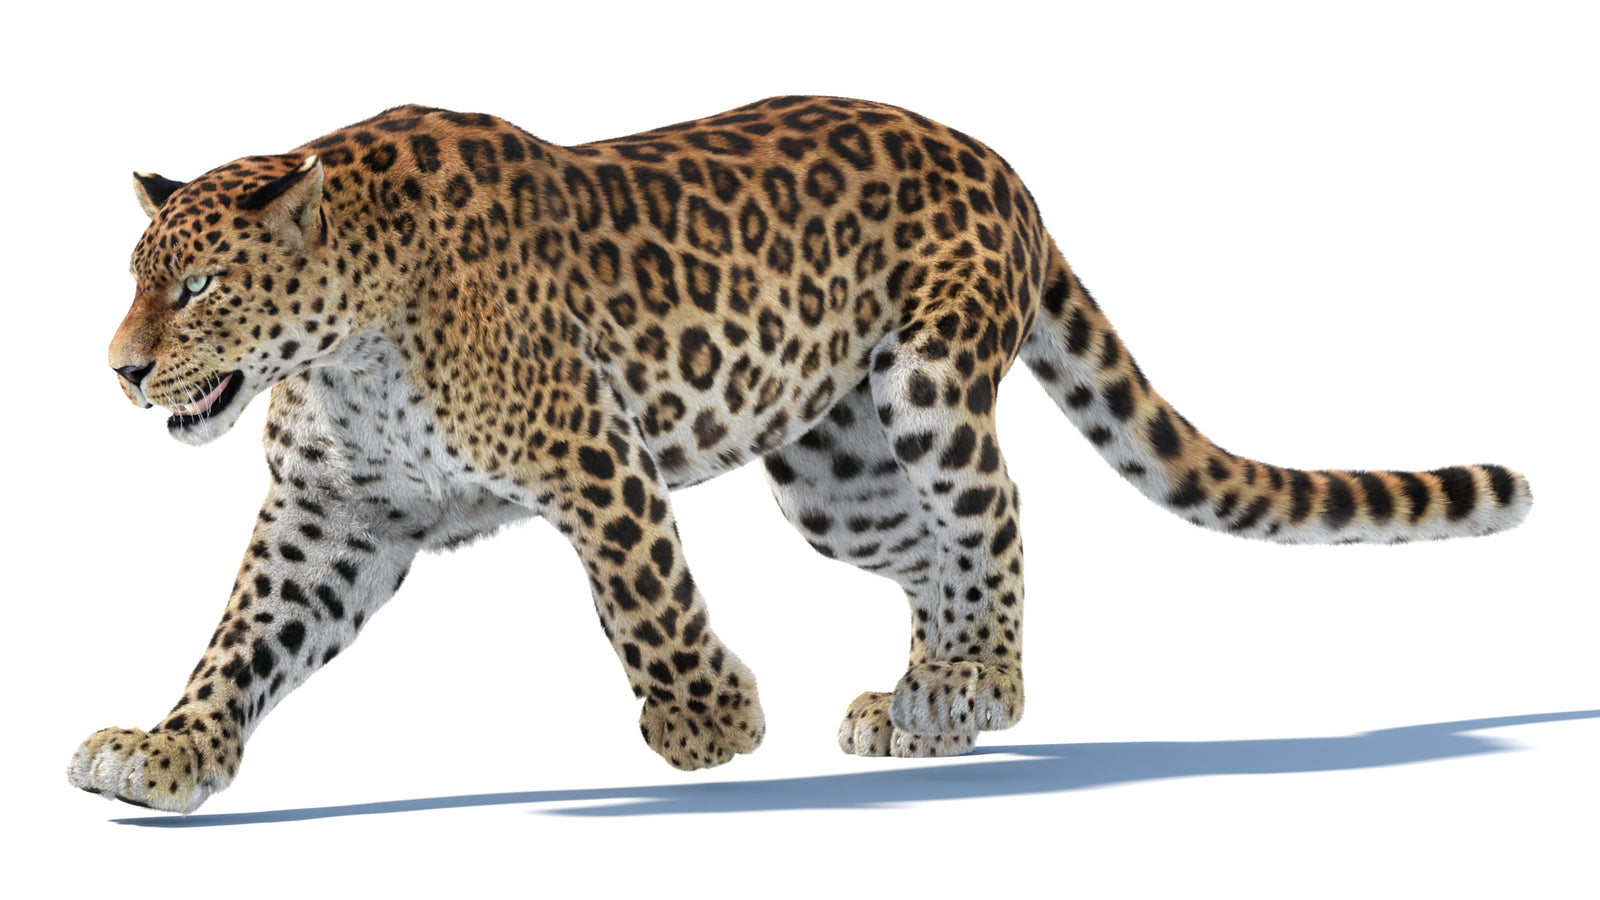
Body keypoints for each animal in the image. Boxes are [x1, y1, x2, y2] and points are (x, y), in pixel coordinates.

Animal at [70, 96, 1531, 813]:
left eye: (197, 288)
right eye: (135, 282)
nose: (122, 370)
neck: (348, 342)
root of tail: (1003, 165)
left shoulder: (593, 457)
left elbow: (646, 598)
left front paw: (708, 725)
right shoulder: (333, 519)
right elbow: (241, 644)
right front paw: (166, 754)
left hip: (932, 386)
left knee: (998, 517)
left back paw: (978, 688)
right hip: (841, 478)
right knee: (934, 551)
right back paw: (929, 702)